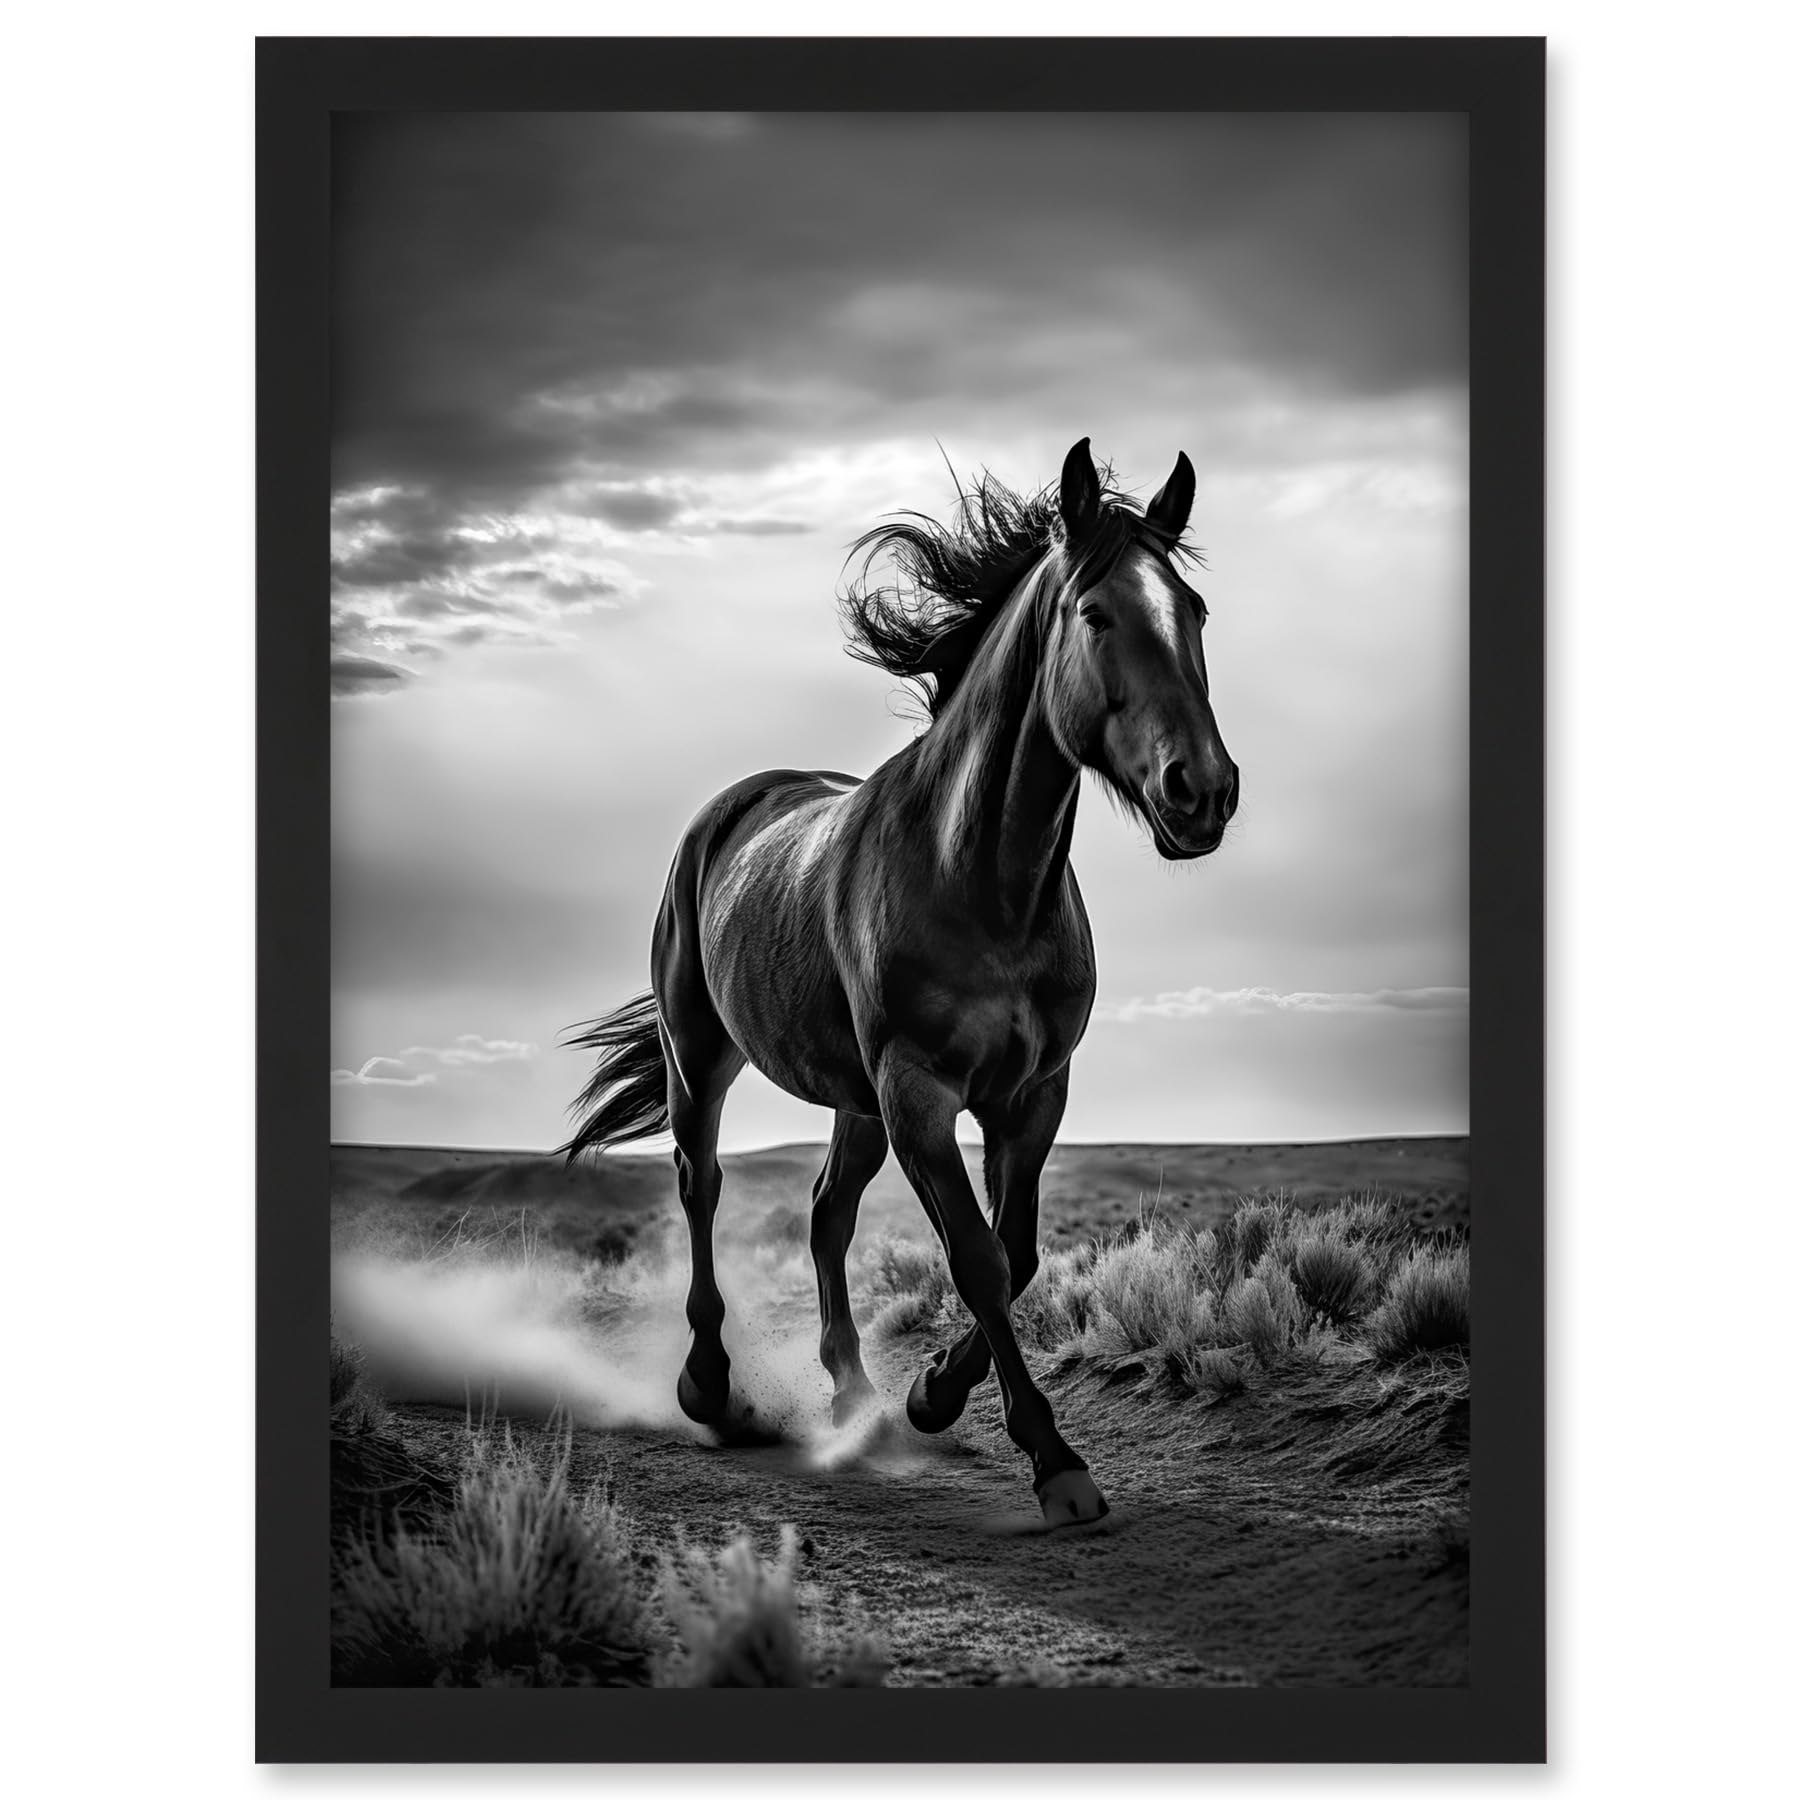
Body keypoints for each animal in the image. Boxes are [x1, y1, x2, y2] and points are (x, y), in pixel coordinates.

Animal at [563, 438, 1237, 1526]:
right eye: (1097, 614)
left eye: (1197, 612)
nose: (1204, 792)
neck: (983, 880)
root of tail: (727, 810)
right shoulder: (919, 1092)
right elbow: (978, 1259)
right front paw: (1053, 1459)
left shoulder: (1030, 1096)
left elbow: (1020, 1254)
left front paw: (931, 1394)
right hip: (703, 1057)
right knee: (702, 1185)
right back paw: (710, 1386)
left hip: (852, 1101)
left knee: (826, 1213)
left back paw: (854, 1396)